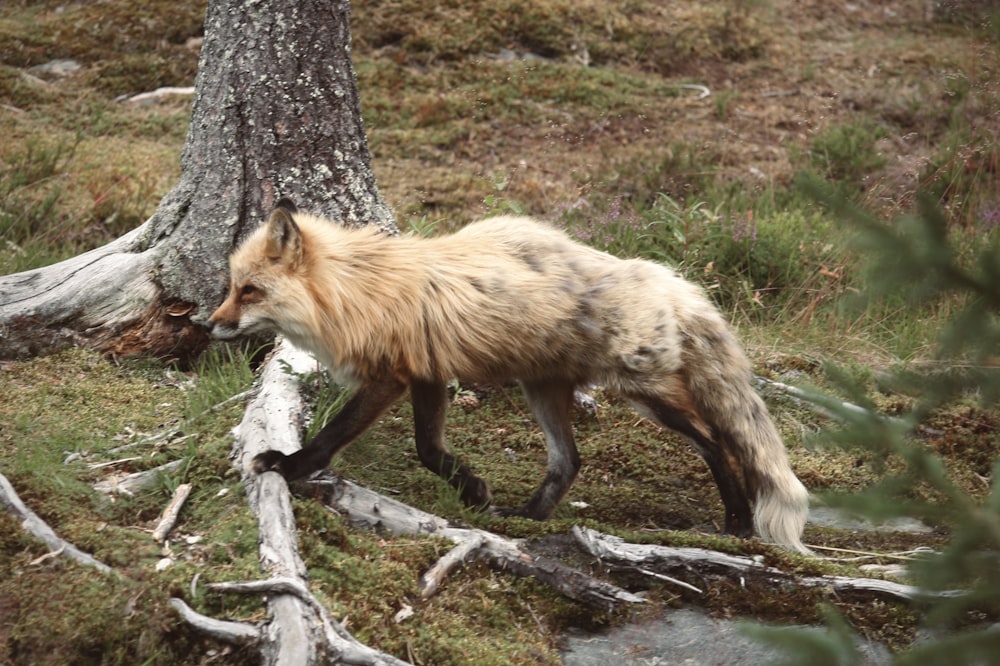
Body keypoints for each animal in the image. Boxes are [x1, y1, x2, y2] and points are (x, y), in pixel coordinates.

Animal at [209, 197, 812, 548]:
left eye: (249, 291)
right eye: (231, 288)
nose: (207, 323)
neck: (357, 291)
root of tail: (672, 281)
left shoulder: (392, 376)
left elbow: (331, 437)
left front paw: (286, 465)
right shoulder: (428, 375)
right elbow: (430, 449)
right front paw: (474, 489)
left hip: (648, 393)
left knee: (719, 443)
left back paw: (738, 523)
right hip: (541, 389)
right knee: (570, 461)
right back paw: (529, 516)